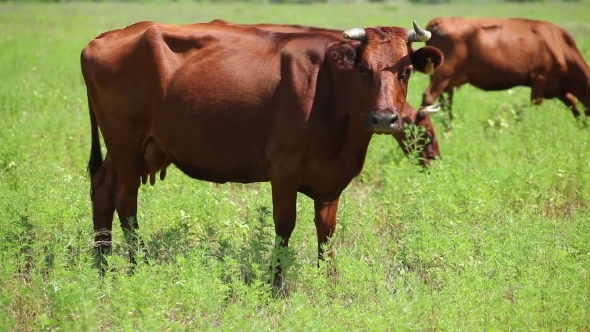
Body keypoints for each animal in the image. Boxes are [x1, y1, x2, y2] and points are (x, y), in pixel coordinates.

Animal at [420, 16, 590, 120]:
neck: (559, 45)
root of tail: (438, 21)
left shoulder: (559, 88)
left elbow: (575, 107)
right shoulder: (539, 79)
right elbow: (536, 106)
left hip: (447, 81)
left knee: (445, 104)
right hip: (442, 75)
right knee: (428, 97)